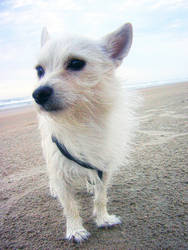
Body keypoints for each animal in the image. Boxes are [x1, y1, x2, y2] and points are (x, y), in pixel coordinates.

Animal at [32, 23, 138, 242]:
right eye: (39, 70)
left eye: (75, 63)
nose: (38, 93)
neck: (80, 118)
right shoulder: (59, 167)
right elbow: (70, 206)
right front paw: (75, 229)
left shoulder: (104, 166)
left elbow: (101, 197)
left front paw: (103, 218)